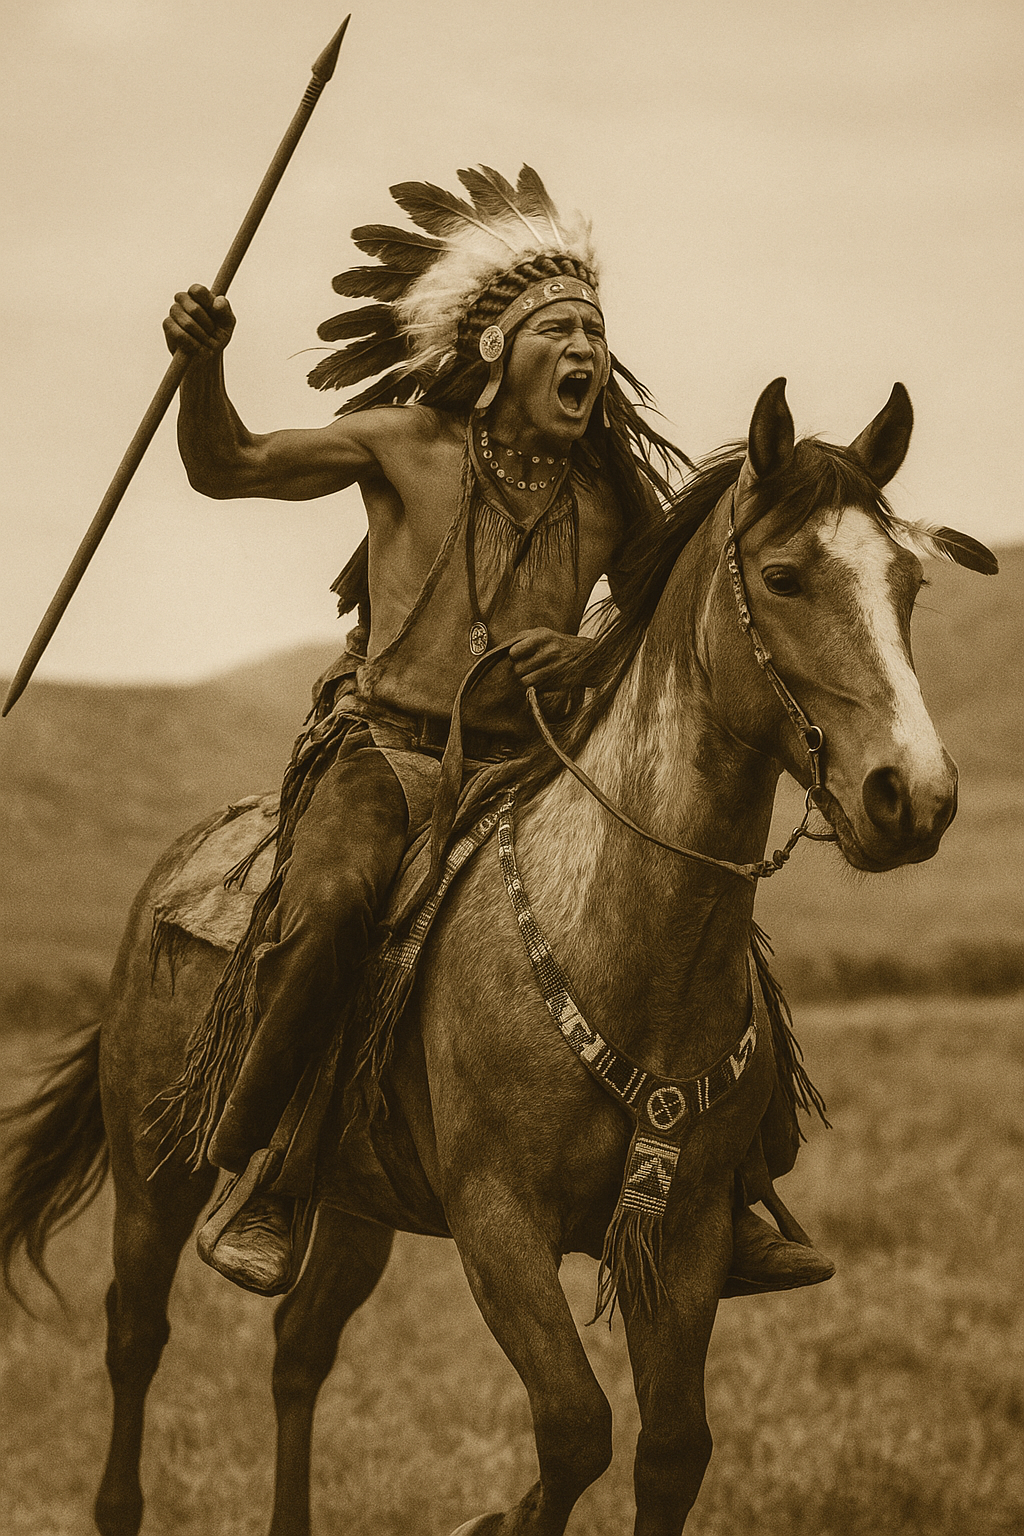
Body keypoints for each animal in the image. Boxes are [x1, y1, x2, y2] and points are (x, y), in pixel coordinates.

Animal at [1, 377, 992, 1536]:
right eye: (785, 578)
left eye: (908, 584)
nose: (912, 796)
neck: (622, 935)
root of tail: (169, 874)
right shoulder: (499, 1225)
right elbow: (574, 1427)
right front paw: (498, 1519)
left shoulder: (686, 1233)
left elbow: (671, 1449)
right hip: (156, 1167)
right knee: (135, 1333)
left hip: (349, 1196)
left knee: (300, 1351)